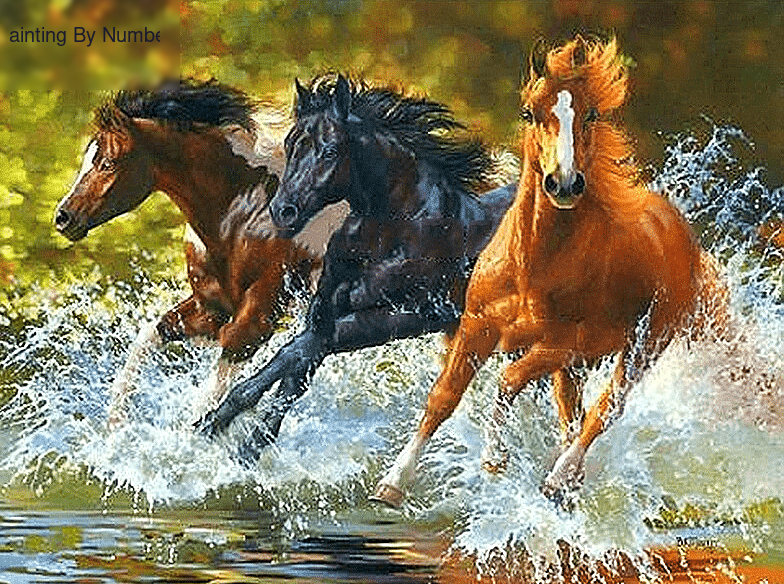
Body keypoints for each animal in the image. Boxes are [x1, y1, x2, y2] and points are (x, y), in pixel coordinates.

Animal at [54, 79, 347, 428]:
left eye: (108, 162)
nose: (63, 217)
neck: (243, 216)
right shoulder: (210, 307)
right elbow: (150, 335)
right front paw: (116, 427)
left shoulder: (257, 318)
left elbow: (213, 396)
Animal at [195, 74, 518, 450]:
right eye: (290, 145)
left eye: (331, 150)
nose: (282, 211)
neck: (396, 230)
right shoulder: (325, 312)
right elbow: (295, 374)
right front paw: (237, 444)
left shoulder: (402, 316)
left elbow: (293, 353)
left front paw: (213, 423)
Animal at [372, 36, 729, 507]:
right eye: (529, 112)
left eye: (591, 113)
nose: (563, 183)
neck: (533, 268)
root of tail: (682, 233)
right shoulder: (477, 326)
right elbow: (443, 398)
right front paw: (392, 483)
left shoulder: (566, 343)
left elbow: (508, 381)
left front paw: (494, 460)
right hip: (574, 367)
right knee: (573, 414)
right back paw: (568, 479)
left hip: (642, 344)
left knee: (605, 408)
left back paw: (559, 478)